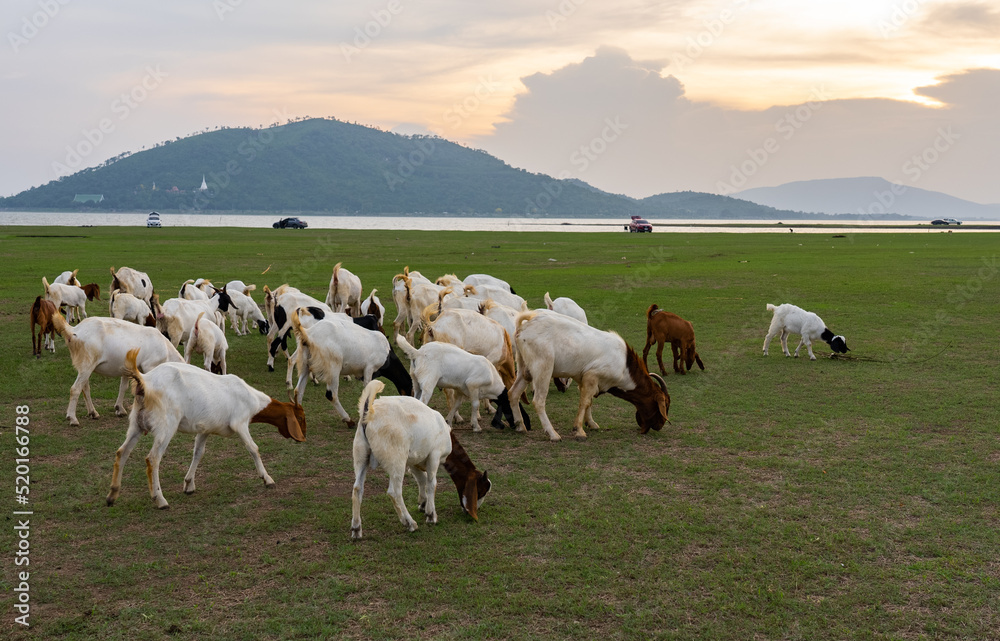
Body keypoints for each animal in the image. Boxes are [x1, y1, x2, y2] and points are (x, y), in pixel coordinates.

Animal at [51, 312, 183, 425]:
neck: (166, 350)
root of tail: (74, 331)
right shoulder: (149, 366)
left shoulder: (128, 368)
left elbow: (123, 387)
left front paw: (120, 409)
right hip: (87, 363)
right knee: (75, 389)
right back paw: (72, 418)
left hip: (84, 366)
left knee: (85, 388)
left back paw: (93, 413)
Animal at [107, 348, 305, 509]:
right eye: (301, 418)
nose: (304, 436)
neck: (253, 399)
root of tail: (145, 381)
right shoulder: (240, 423)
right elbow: (253, 448)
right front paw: (267, 479)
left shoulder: (205, 429)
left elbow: (198, 452)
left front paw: (189, 484)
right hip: (166, 426)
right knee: (153, 458)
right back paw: (160, 499)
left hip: (136, 424)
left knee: (122, 452)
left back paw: (112, 495)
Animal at [350, 380, 490, 539]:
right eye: (481, 491)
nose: (469, 511)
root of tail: (370, 413)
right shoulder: (434, 455)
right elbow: (431, 483)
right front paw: (431, 515)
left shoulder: (414, 461)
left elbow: (422, 479)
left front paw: (423, 504)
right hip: (396, 459)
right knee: (394, 492)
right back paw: (410, 523)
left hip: (361, 454)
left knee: (357, 489)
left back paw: (356, 529)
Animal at [508, 310, 669, 441]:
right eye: (665, 405)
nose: (660, 425)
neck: (625, 365)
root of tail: (527, 325)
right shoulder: (592, 375)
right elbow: (585, 402)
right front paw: (579, 430)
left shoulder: (584, 379)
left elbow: (589, 400)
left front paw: (590, 423)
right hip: (543, 368)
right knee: (539, 401)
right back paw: (553, 434)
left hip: (525, 370)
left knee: (513, 393)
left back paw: (520, 426)